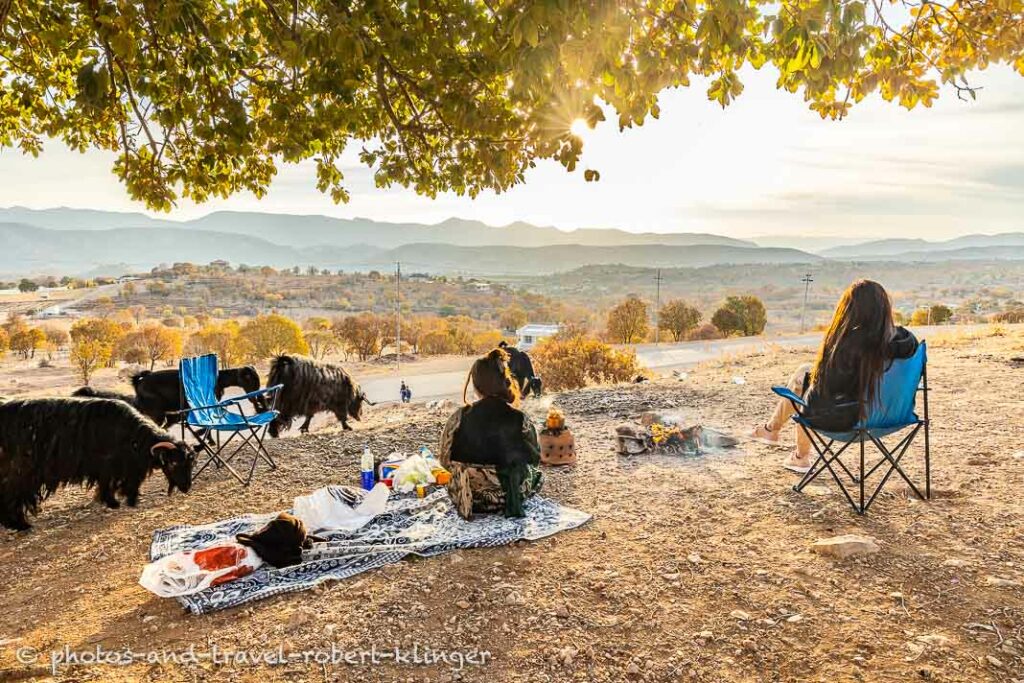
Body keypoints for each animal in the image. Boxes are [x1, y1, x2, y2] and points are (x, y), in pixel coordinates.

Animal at [0, 397, 194, 532]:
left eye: (190, 464)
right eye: (173, 463)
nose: (186, 488)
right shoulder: (109, 465)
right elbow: (109, 484)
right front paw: (114, 502)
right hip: (20, 473)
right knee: (10, 495)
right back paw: (19, 524)